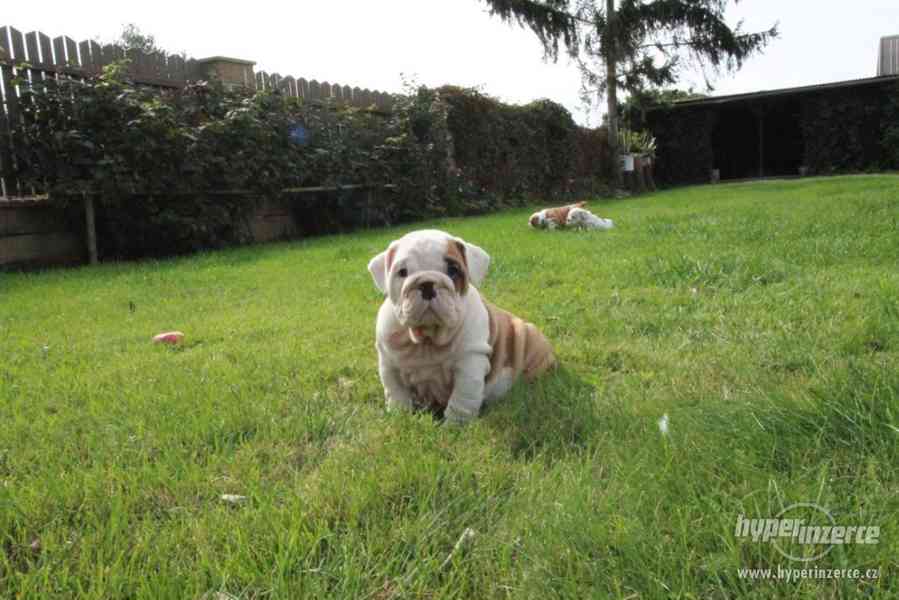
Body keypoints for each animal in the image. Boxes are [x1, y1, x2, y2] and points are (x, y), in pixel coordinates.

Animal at [368, 229, 556, 424]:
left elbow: (461, 400)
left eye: (453, 270)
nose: (427, 283)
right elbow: (396, 393)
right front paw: (400, 416)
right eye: (402, 272)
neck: (428, 338)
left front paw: (454, 425)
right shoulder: (389, 365)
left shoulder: (469, 364)